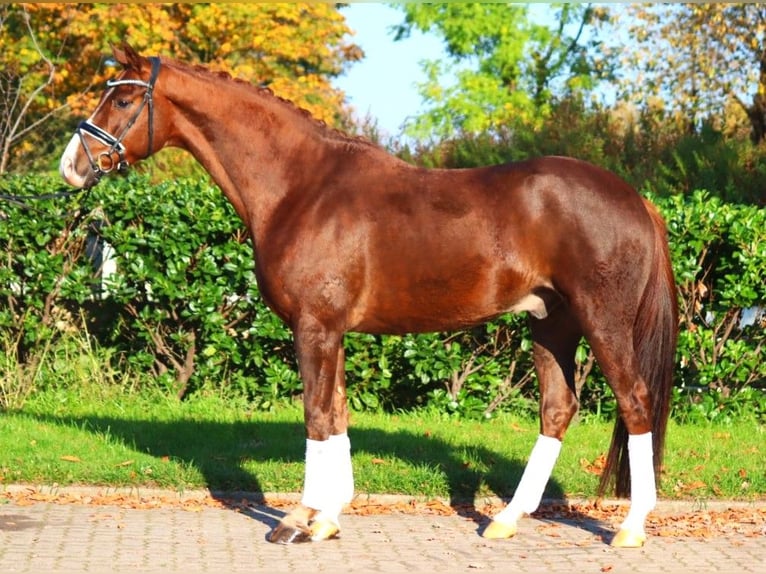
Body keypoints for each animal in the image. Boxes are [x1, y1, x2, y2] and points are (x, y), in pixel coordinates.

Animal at [63, 45, 680, 548]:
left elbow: (316, 416)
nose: (72, 165)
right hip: (552, 325)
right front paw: (328, 519)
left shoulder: (314, 327)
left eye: (122, 99)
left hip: (603, 322)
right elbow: (336, 413)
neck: (300, 188)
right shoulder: (330, 330)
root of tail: (636, 200)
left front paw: (297, 520)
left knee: (635, 402)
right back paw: (506, 519)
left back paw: (629, 529)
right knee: (558, 410)